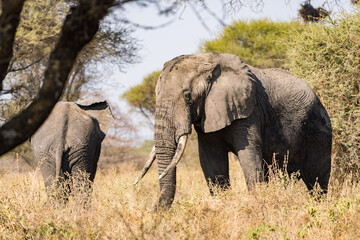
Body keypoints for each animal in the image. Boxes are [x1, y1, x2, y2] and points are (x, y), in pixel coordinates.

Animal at [135, 52, 332, 208]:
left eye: (187, 96)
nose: (154, 211)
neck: (207, 62)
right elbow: (211, 163)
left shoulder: (249, 112)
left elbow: (249, 159)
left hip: (319, 129)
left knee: (317, 181)